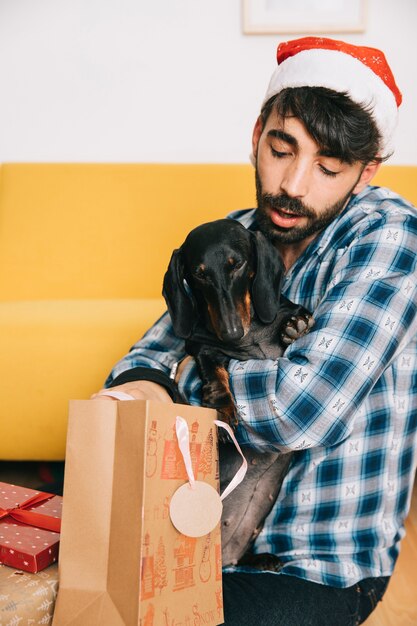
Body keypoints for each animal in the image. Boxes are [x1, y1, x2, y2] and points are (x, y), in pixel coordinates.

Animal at [162, 217, 312, 568]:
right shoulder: (201, 347)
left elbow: (293, 313)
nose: (231, 332)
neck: (250, 335)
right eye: (199, 273)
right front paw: (225, 409)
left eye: (237, 264)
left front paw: (296, 322)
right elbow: (215, 372)